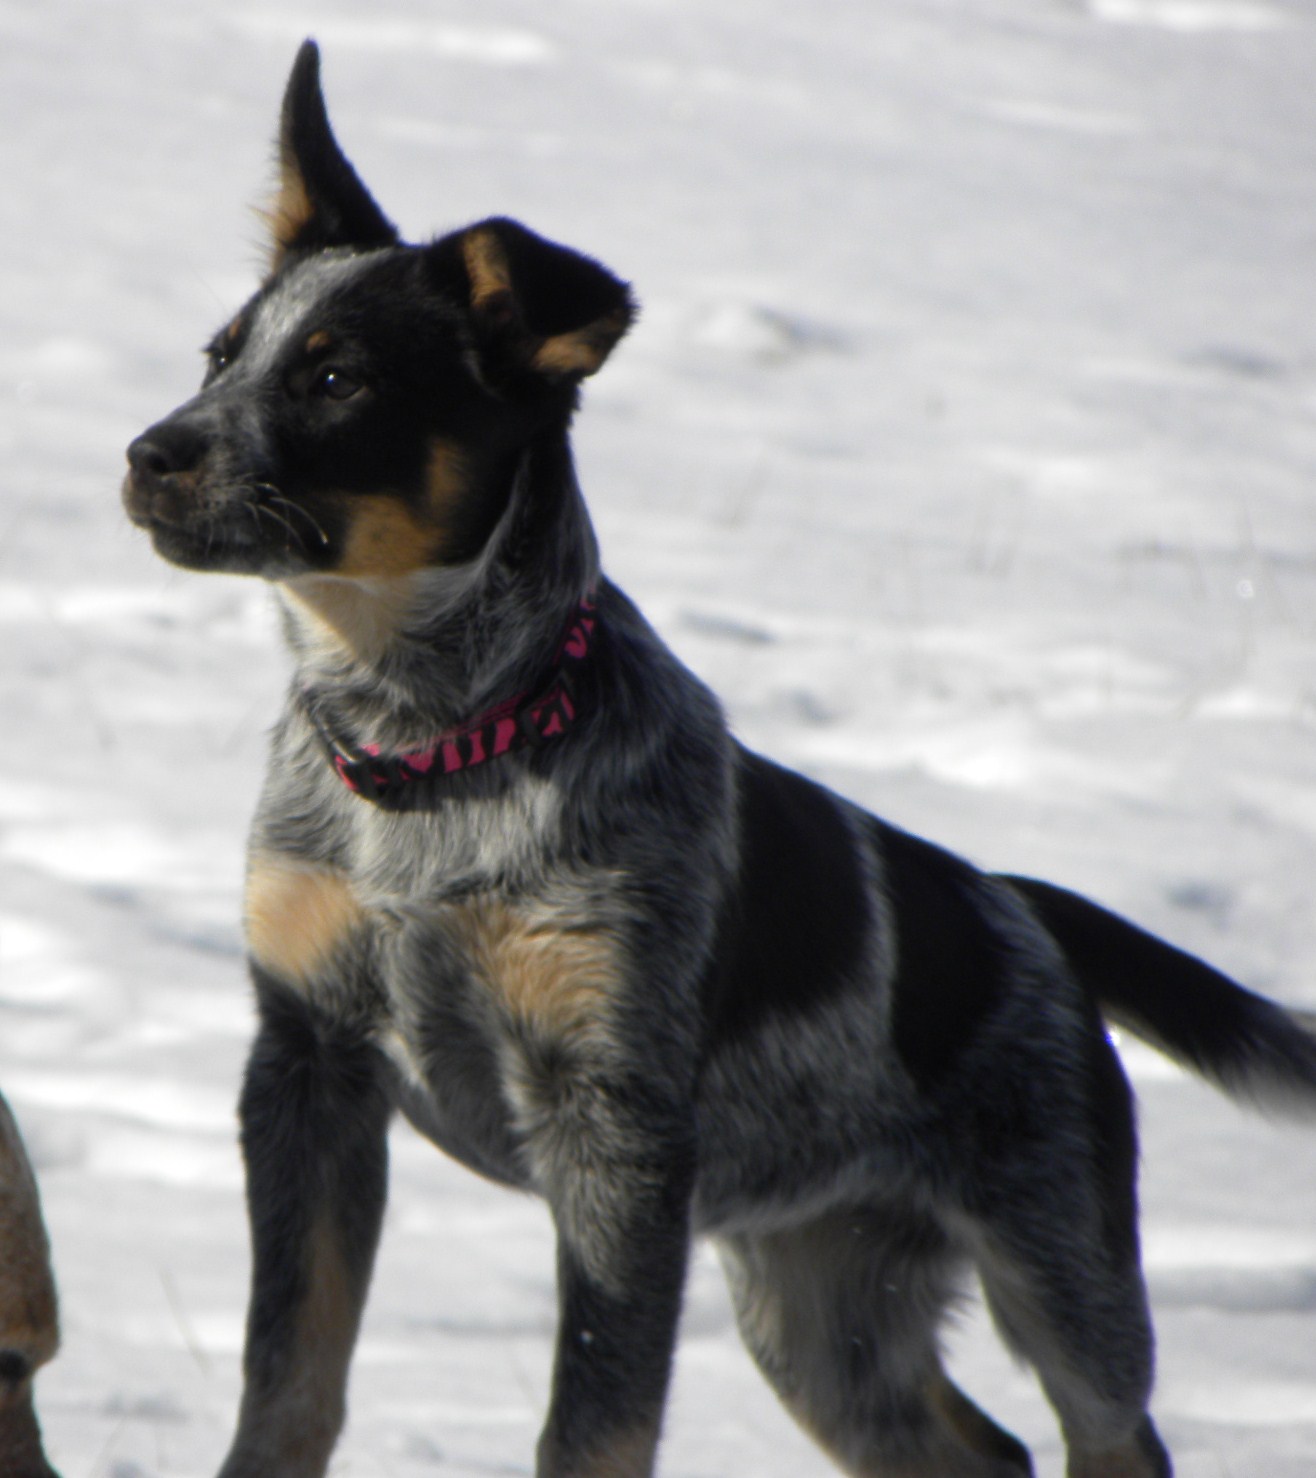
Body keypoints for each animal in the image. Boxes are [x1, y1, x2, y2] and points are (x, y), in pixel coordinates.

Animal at [120, 37, 1313, 1478]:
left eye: (338, 378)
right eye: (219, 355)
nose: (146, 454)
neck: (435, 749)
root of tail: (1022, 904)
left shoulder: (618, 1132)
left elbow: (596, 1417)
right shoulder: (305, 1065)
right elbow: (287, 1376)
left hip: (1057, 1258)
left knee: (1108, 1428)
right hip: (818, 1305)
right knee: (979, 1448)